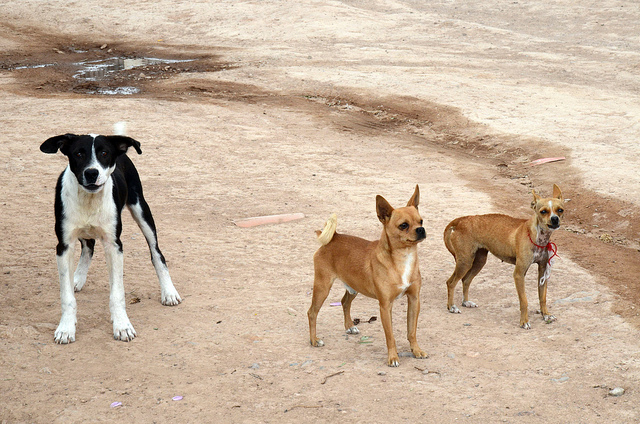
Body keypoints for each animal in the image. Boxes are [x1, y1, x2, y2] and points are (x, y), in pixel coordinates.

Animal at [40, 133, 181, 343]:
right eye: (78, 153)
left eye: (104, 153)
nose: (92, 173)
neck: (90, 200)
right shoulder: (64, 245)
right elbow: (67, 296)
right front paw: (66, 328)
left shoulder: (114, 245)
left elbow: (117, 294)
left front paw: (122, 326)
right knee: (88, 246)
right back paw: (77, 278)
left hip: (141, 209)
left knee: (157, 253)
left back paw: (169, 292)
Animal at [308, 185, 427, 367]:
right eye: (403, 225)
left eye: (421, 221)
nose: (421, 230)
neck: (403, 259)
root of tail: (333, 237)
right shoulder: (385, 306)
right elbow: (390, 336)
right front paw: (393, 357)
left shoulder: (414, 300)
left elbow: (411, 331)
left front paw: (416, 350)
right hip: (322, 288)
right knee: (312, 313)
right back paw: (314, 340)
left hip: (353, 288)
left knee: (344, 302)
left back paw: (350, 326)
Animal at [443, 184, 565, 329]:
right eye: (543, 211)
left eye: (560, 210)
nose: (555, 219)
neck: (537, 236)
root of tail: (461, 220)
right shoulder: (519, 274)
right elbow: (524, 301)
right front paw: (524, 321)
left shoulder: (543, 271)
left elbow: (543, 297)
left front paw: (545, 314)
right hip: (465, 261)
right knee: (451, 282)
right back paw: (451, 307)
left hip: (479, 261)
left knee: (466, 280)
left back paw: (466, 302)